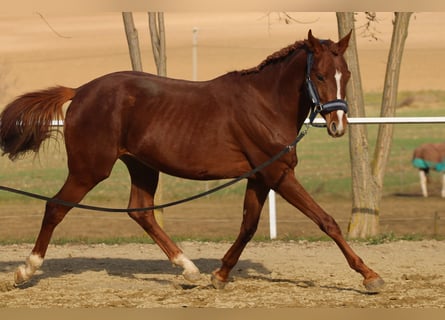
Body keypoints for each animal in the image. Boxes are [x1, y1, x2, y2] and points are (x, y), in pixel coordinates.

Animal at [0, 30, 384, 292]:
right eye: (319, 75)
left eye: (346, 75)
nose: (338, 125)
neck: (265, 103)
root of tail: (80, 91)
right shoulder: (278, 173)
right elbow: (326, 221)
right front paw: (370, 275)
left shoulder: (260, 176)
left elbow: (248, 226)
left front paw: (220, 274)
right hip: (89, 169)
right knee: (55, 207)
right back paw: (25, 271)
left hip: (142, 166)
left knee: (141, 211)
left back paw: (188, 268)